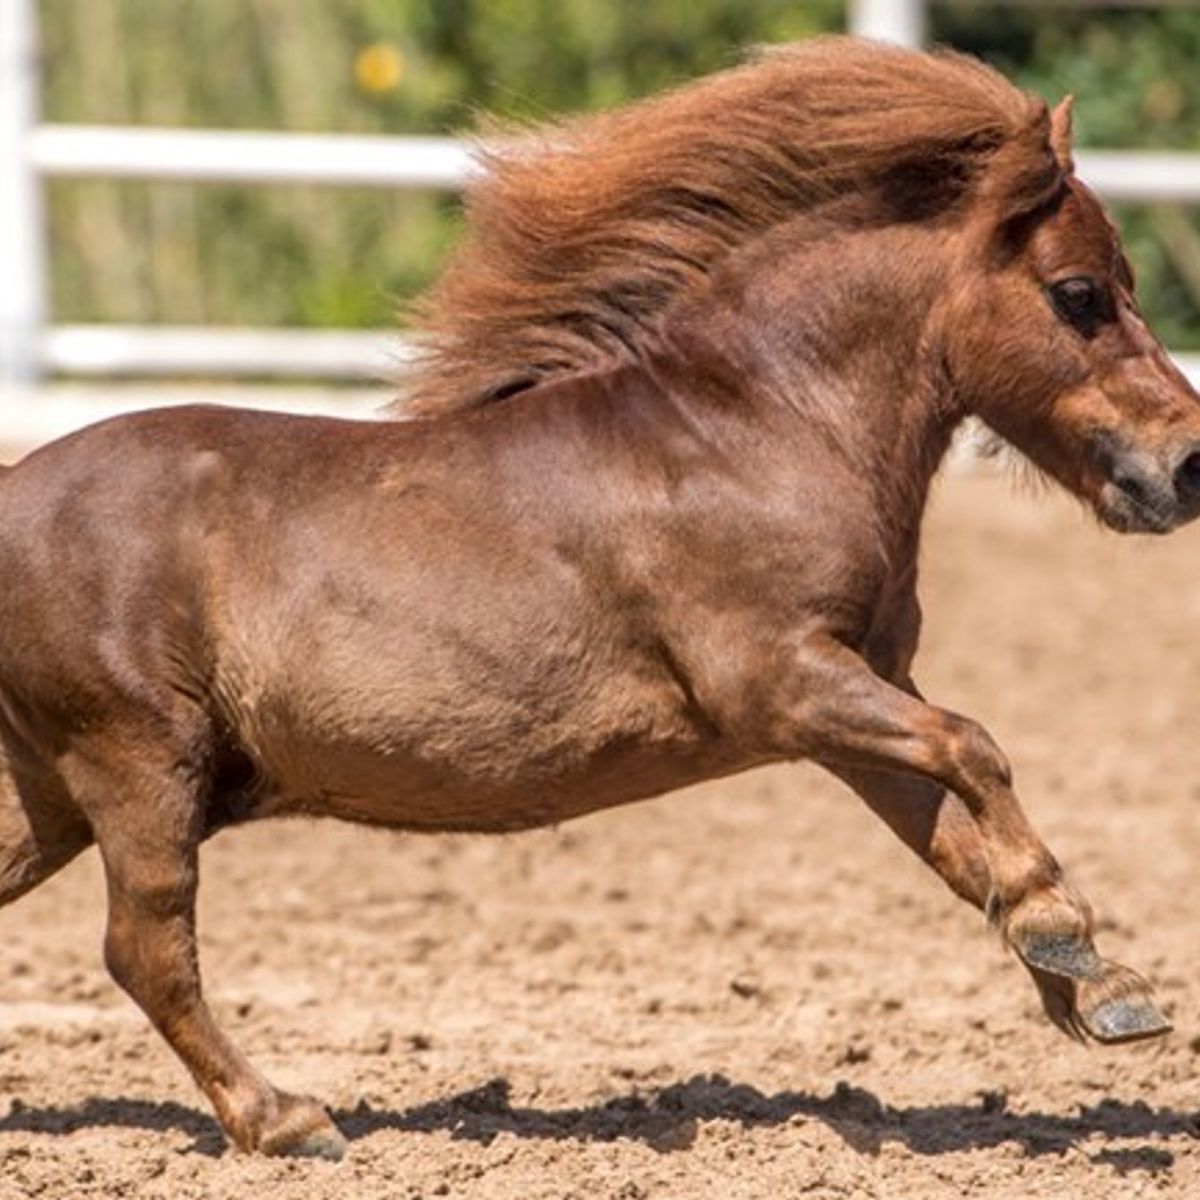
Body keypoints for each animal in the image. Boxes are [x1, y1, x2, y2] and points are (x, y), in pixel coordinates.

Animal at [2, 39, 1200, 1161]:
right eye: (1081, 293)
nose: (1185, 467)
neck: (754, 429)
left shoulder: (855, 703)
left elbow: (955, 840)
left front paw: (1094, 982)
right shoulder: (783, 683)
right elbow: (974, 746)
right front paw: (1069, 938)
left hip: (51, 794)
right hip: (137, 764)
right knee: (148, 953)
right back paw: (289, 1120)